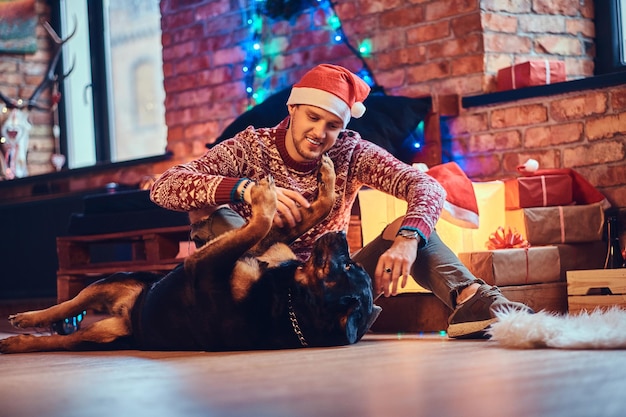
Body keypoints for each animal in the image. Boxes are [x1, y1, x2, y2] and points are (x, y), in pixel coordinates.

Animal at [0, 156, 378, 354]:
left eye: (346, 266)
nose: (340, 237)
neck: (289, 298)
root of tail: (127, 317)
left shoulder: (202, 265)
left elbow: (260, 221)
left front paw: (266, 197)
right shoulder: (264, 246)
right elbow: (298, 214)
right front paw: (326, 183)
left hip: (103, 327)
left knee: (61, 334)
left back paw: (18, 337)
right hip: (119, 281)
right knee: (68, 305)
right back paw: (30, 321)